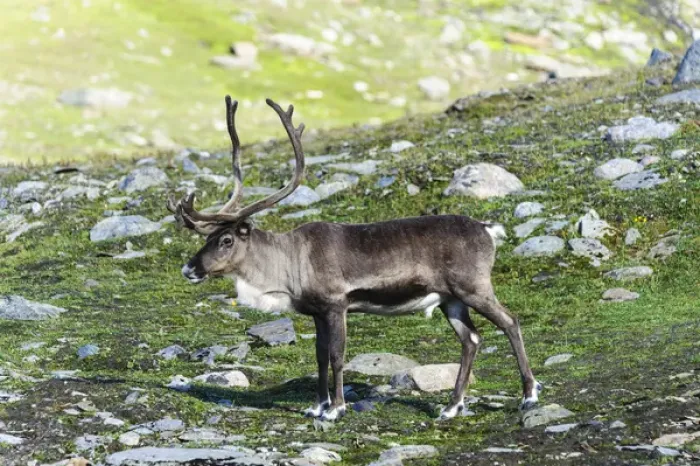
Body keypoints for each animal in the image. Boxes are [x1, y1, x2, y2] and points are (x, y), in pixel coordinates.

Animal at [167, 96, 541, 422]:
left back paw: (528, 395)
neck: (288, 266)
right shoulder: (316, 312)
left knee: (510, 322)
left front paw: (336, 409)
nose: (189, 268)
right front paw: (317, 406)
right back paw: (451, 407)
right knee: (471, 339)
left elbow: (336, 356)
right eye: (207, 238)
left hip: (473, 286)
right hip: (451, 299)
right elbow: (319, 356)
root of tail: (488, 229)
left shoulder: (337, 305)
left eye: (226, 239)